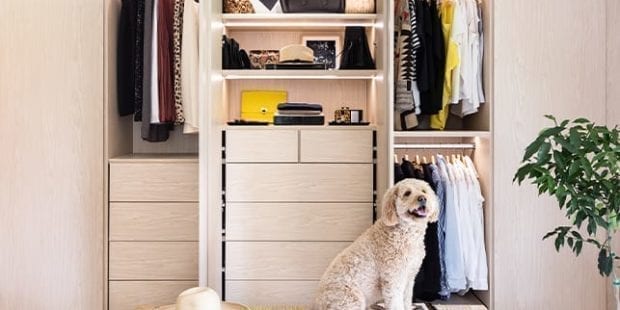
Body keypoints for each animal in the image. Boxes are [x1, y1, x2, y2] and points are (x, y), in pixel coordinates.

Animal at [314, 179, 440, 310]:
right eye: (407, 193)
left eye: (424, 191)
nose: (422, 198)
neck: (405, 232)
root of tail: (316, 303)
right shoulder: (393, 280)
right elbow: (396, 304)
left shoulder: (409, 278)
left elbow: (406, 301)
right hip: (352, 299)